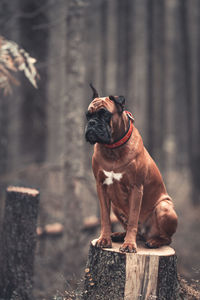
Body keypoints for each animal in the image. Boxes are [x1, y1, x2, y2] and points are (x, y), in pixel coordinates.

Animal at [85, 85, 178, 252]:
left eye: (105, 114)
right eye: (88, 116)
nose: (92, 123)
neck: (113, 149)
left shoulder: (136, 188)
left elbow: (133, 219)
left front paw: (129, 244)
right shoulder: (101, 186)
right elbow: (105, 217)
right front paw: (104, 239)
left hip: (164, 207)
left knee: (167, 238)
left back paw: (154, 241)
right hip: (116, 207)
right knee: (136, 231)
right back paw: (118, 235)